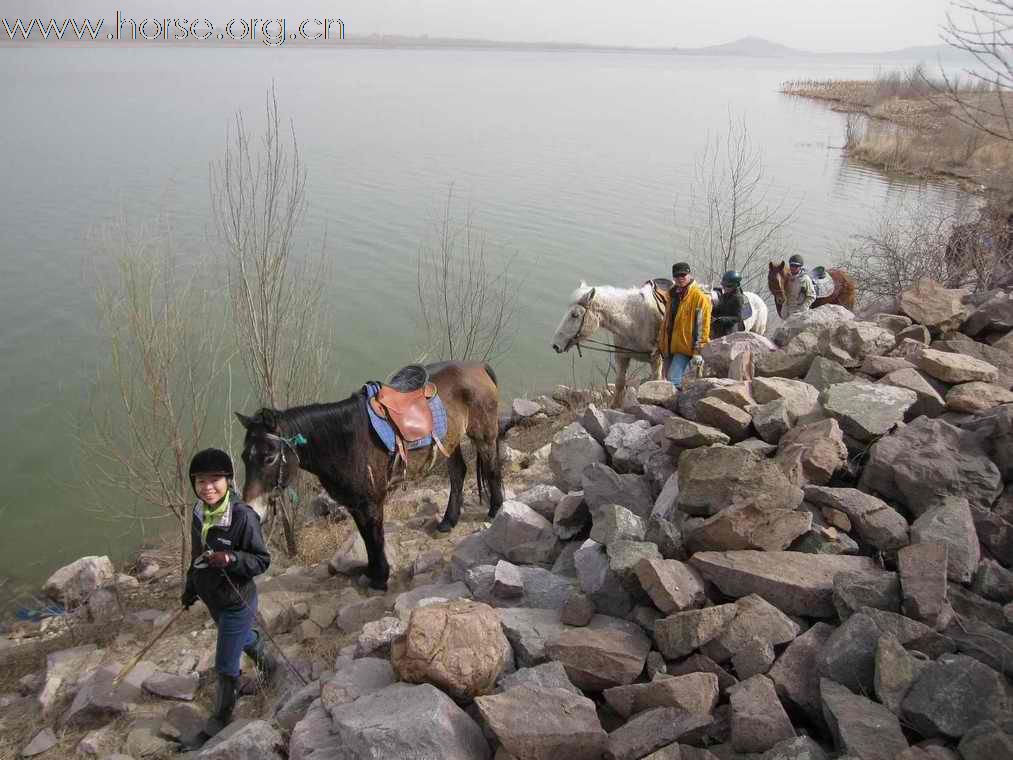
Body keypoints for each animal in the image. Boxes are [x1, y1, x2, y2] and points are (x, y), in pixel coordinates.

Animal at [234, 360, 502, 591]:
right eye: (245, 457)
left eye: (269, 457)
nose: (252, 509)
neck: (346, 441)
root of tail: (478, 366)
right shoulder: (355, 504)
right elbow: (366, 538)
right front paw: (373, 572)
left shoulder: (372, 503)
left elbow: (375, 538)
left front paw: (381, 578)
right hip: (451, 440)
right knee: (458, 473)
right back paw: (449, 520)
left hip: (484, 436)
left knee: (492, 469)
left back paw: (495, 510)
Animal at [555, 281, 765, 411]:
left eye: (575, 315)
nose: (555, 345)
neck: (634, 319)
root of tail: (757, 300)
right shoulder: (622, 356)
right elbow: (621, 383)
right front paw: (615, 406)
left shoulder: (655, 359)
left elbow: (655, 382)